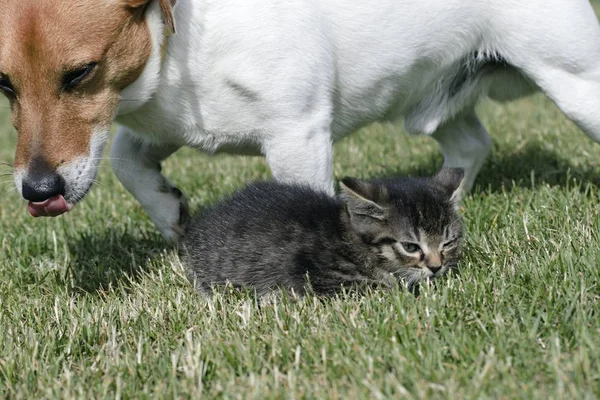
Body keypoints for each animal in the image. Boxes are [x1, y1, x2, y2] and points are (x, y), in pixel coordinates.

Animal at [1, 0, 600, 241]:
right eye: (4, 84)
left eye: (81, 72)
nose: (36, 191)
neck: (186, 35)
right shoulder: (162, 123)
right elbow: (127, 161)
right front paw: (170, 213)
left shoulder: (298, 133)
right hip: (434, 96)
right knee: (472, 143)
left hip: (575, 80)